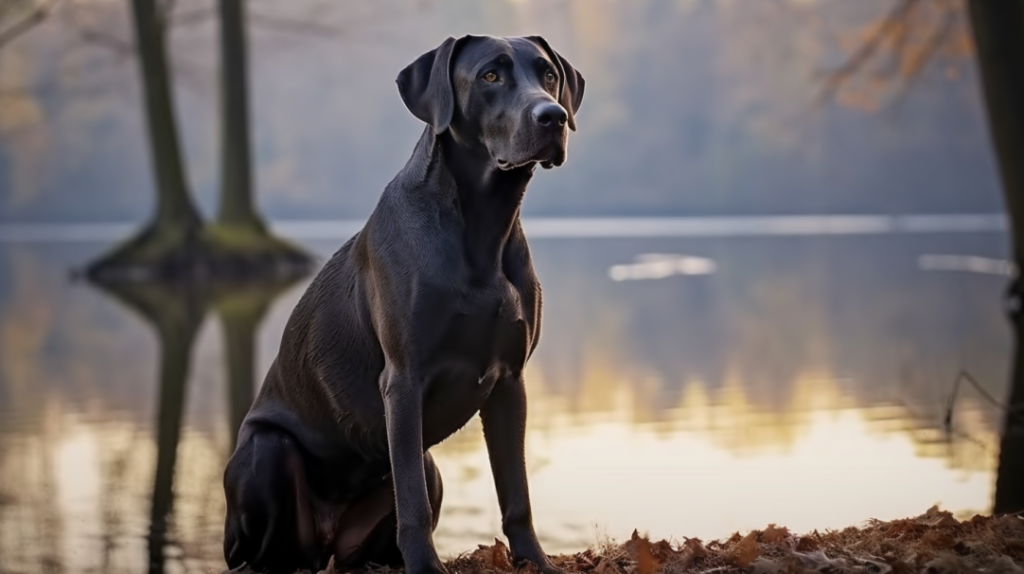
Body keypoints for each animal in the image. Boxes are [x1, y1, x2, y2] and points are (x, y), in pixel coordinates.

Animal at [223, 35, 585, 572]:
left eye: (549, 75)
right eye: (490, 76)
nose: (553, 116)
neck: (482, 222)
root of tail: (326, 541)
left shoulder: (510, 381)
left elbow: (516, 493)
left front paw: (535, 561)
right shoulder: (404, 381)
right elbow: (411, 500)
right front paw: (425, 566)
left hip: (428, 471)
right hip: (268, 453)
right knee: (263, 553)